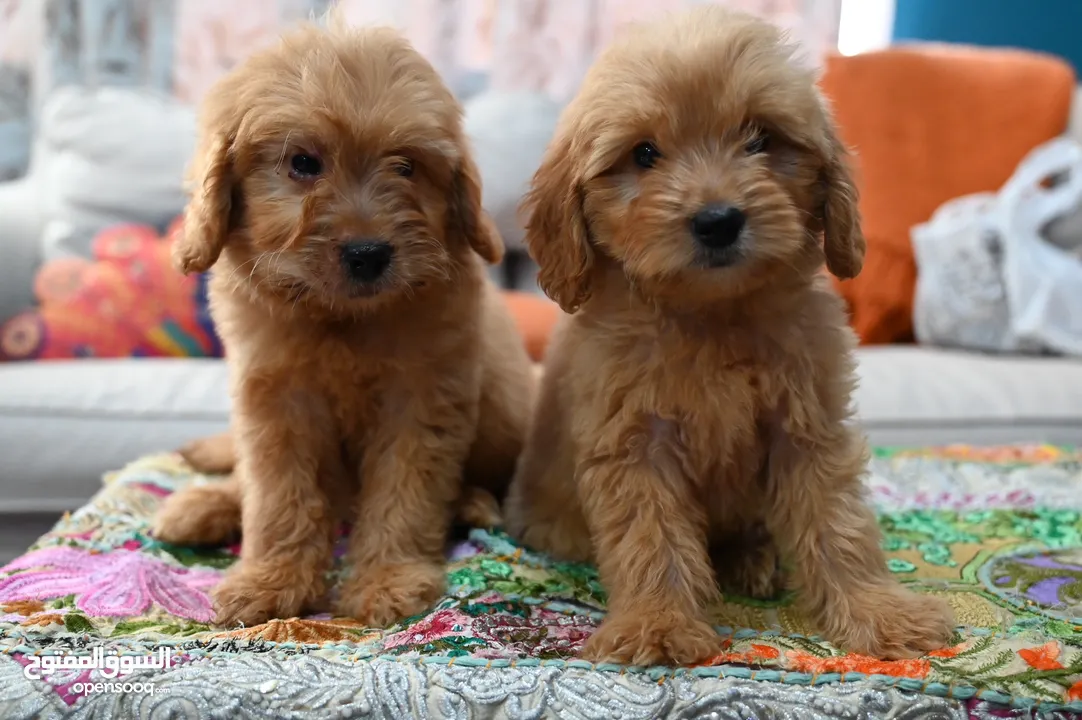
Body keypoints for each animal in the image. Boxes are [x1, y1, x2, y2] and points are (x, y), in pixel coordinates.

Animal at [153, 23, 536, 627]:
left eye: (406, 166)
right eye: (303, 163)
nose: (367, 253)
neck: (341, 320)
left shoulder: (423, 398)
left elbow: (405, 493)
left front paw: (388, 579)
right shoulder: (273, 399)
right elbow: (276, 494)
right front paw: (270, 578)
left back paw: (473, 503)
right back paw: (206, 503)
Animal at [502, 8, 952, 666]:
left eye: (760, 138)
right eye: (643, 153)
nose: (718, 221)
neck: (712, 316)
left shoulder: (808, 427)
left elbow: (839, 524)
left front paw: (880, 611)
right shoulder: (634, 441)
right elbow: (651, 535)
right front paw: (658, 625)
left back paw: (754, 558)